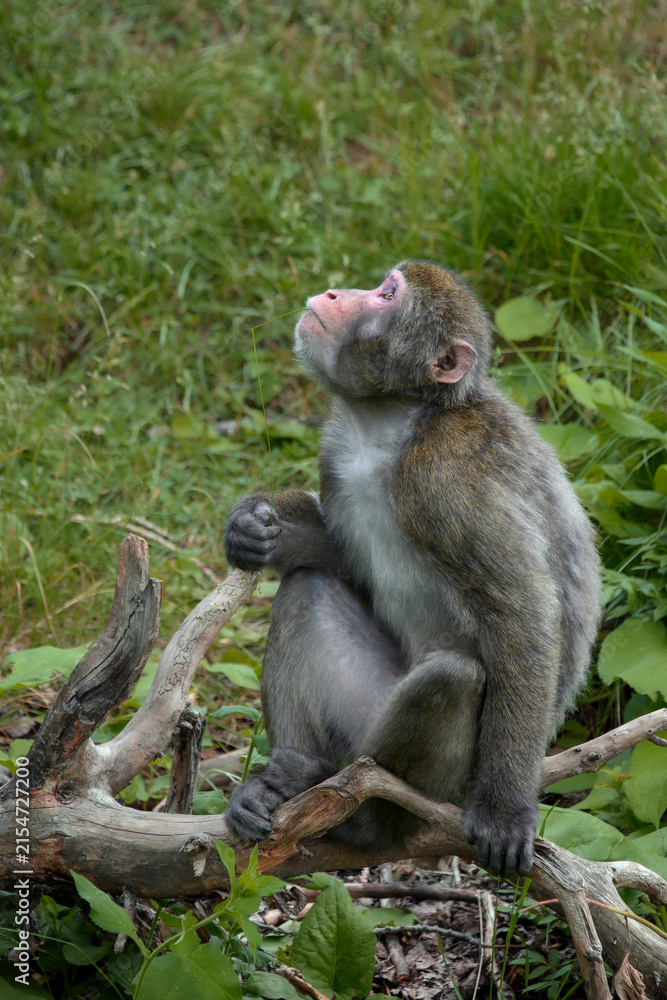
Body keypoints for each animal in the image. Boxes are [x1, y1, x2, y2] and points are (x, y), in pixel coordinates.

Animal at [223, 260, 601, 877]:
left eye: (386, 295)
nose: (336, 292)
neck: (392, 423)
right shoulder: (338, 449)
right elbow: (340, 559)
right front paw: (252, 529)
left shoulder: (445, 479)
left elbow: (521, 617)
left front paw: (507, 811)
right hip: (358, 724)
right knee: (308, 586)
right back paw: (291, 775)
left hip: (440, 782)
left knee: (452, 675)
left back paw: (366, 817)